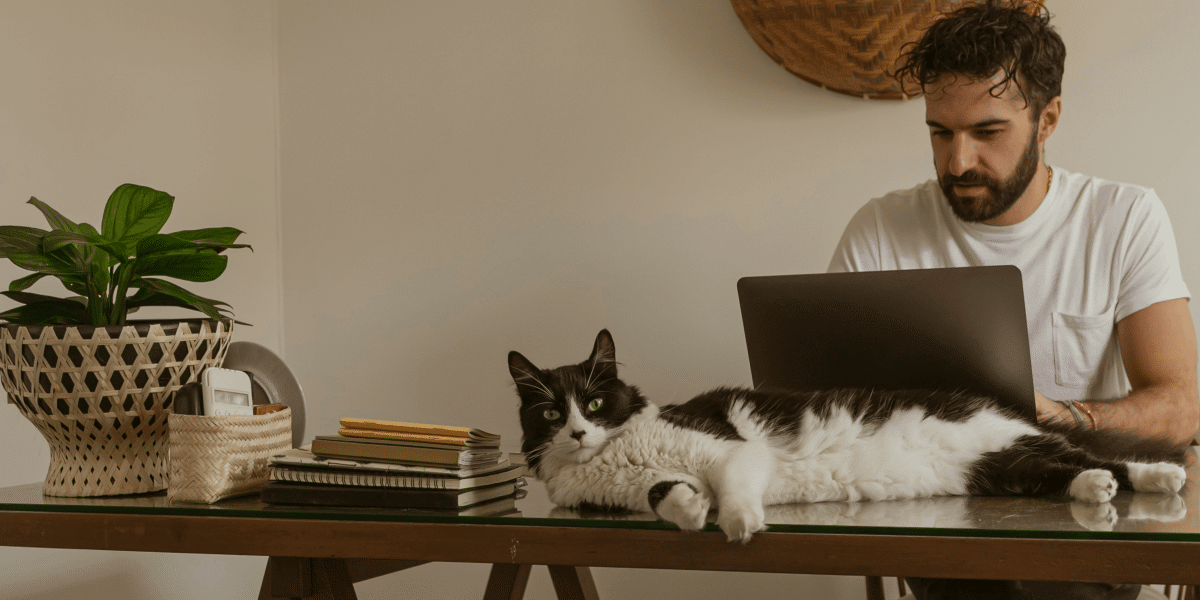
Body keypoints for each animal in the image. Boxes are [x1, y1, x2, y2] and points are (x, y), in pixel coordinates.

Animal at [506, 331, 1190, 542]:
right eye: (549, 414)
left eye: (595, 401)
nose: (577, 431)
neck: (616, 454)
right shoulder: (628, 493)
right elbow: (664, 495)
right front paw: (691, 510)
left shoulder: (730, 450)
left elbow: (735, 486)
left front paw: (738, 521)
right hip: (1007, 467)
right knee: (1073, 469)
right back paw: (1095, 489)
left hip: (1004, 442)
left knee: (1105, 457)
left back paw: (1161, 476)